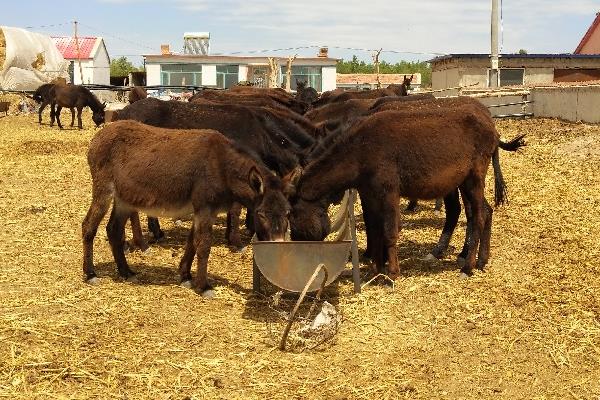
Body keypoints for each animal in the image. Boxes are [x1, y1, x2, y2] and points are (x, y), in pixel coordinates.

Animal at [82, 120, 292, 296]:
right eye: (261, 214)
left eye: (288, 212)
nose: (278, 248)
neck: (222, 165)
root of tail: (99, 135)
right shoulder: (205, 208)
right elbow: (204, 245)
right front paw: (204, 287)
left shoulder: (203, 211)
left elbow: (192, 242)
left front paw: (185, 276)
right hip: (104, 190)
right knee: (88, 226)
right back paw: (91, 274)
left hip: (124, 199)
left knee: (114, 230)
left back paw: (126, 272)